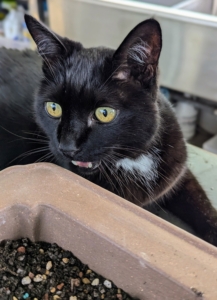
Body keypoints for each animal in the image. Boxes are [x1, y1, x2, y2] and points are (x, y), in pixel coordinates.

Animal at [0, 15, 216, 246]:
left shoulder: (178, 172)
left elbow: (200, 202)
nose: (67, 146)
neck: (132, 160)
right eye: (54, 108)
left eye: (104, 113)